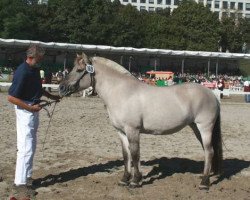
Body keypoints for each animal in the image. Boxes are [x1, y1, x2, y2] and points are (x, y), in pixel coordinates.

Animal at [58, 52, 223, 190]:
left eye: (79, 70)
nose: (61, 87)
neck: (122, 92)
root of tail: (211, 94)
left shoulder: (133, 130)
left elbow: (135, 154)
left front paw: (135, 181)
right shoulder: (121, 132)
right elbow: (126, 155)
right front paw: (124, 179)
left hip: (205, 127)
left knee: (209, 151)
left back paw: (204, 183)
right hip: (195, 127)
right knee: (207, 151)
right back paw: (206, 175)